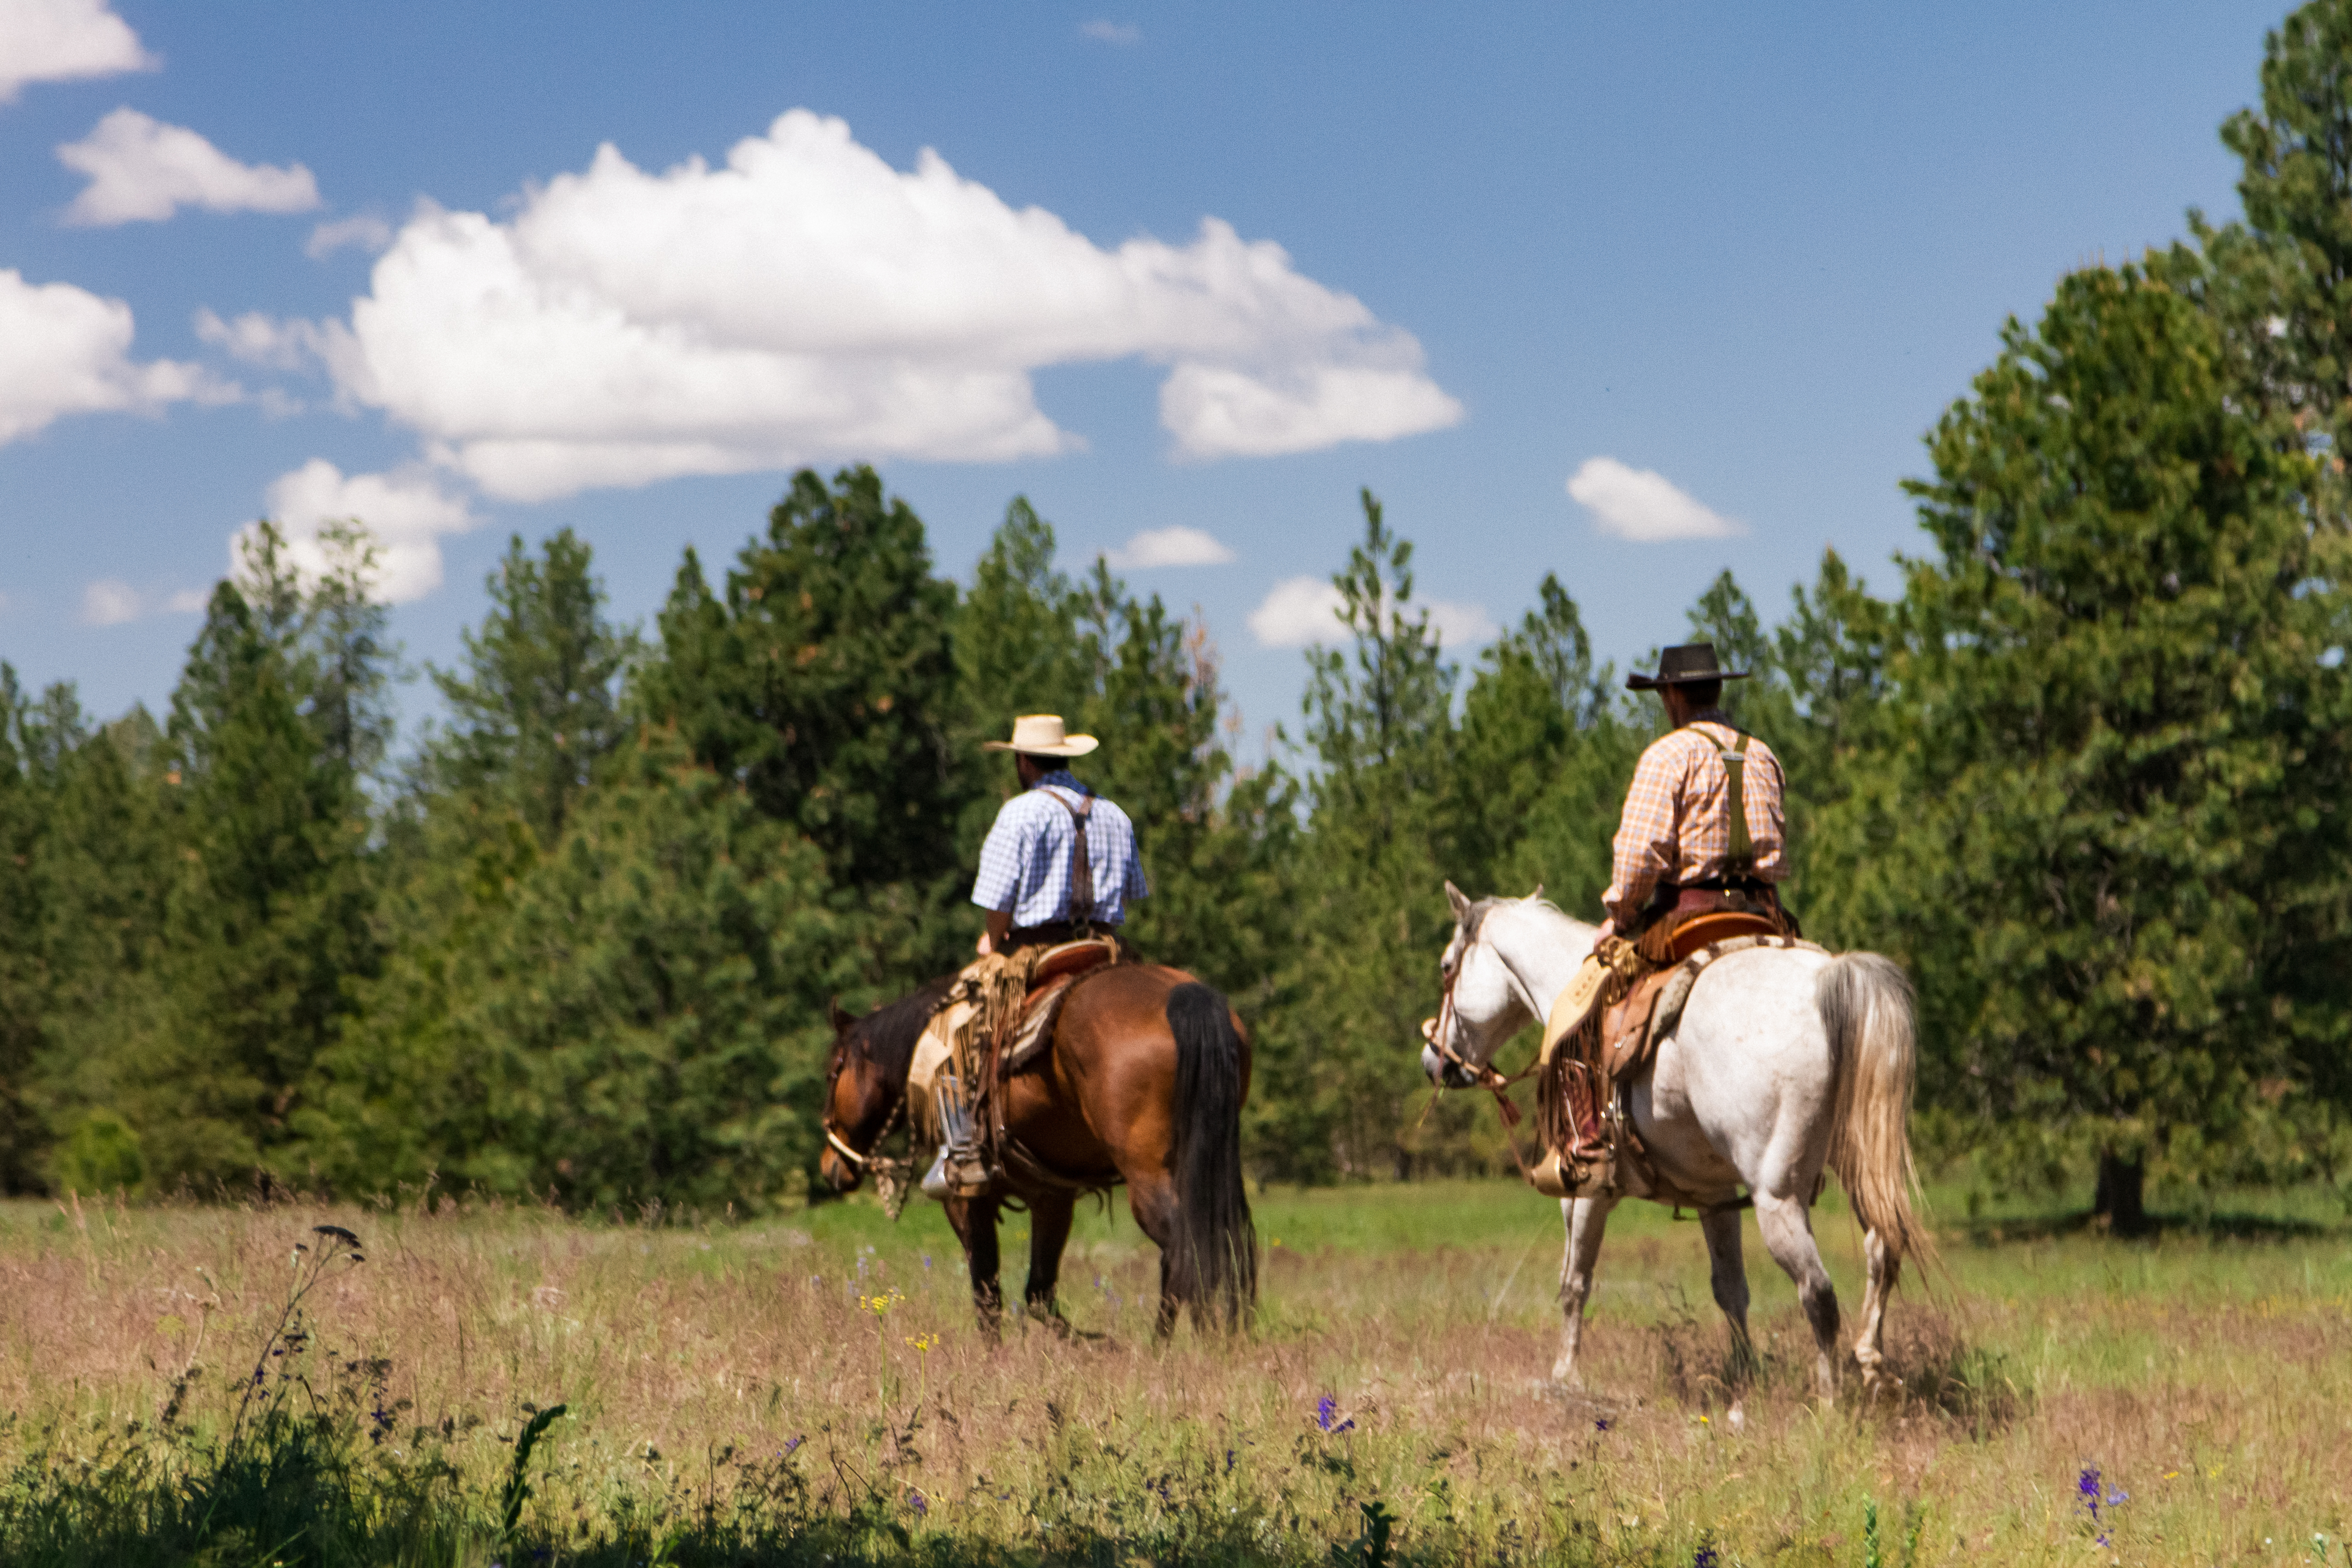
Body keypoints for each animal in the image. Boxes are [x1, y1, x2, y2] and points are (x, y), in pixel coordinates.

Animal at [823, 964, 1261, 1344]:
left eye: (833, 1071)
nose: (830, 1167)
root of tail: (1183, 995)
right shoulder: (1052, 1195)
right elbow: (1038, 1292)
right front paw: (1097, 1342)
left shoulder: (966, 1199)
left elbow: (986, 1290)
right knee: (1223, 1246)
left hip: (1149, 1176)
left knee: (1186, 1251)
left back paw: (1171, 1348)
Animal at [1420, 884, 1938, 1401]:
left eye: (1447, 965)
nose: (1433, 1061)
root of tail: (1828, 977)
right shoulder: (1714, 1192)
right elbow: (1730, 1287)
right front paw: (1744, 1373)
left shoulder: (1587, 1188)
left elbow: (1575, 1282)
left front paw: (1565, 1374)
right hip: (1861, 1168)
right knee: (1882, 1247)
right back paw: (1871, 1361)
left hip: (1778, 1198)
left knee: (1819, 1293)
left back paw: (1829, 1402)